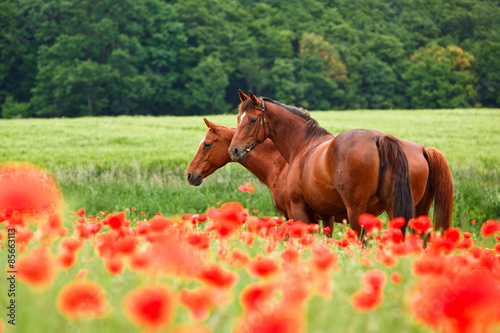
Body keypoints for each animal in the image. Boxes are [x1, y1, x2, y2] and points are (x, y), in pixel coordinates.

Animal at [230, 89, 454, 235]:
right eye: (238, 119)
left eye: (252, 120)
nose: (234, 150)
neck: (303, 145)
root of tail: (380, 138)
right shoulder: (325, 214)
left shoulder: (298, 211)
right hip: (409, 210)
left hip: (357, 212)